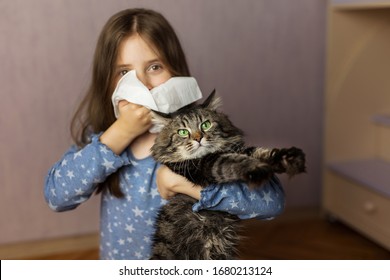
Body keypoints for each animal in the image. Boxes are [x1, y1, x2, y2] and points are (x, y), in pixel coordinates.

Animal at [149, 91, 304, 260]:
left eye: (205, 125)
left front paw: (290, 158)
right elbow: (234, 162)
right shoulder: (204, 165)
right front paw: (258, 170)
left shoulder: (239, 150)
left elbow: (263, 152)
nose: (198, 138)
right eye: (183, 132)